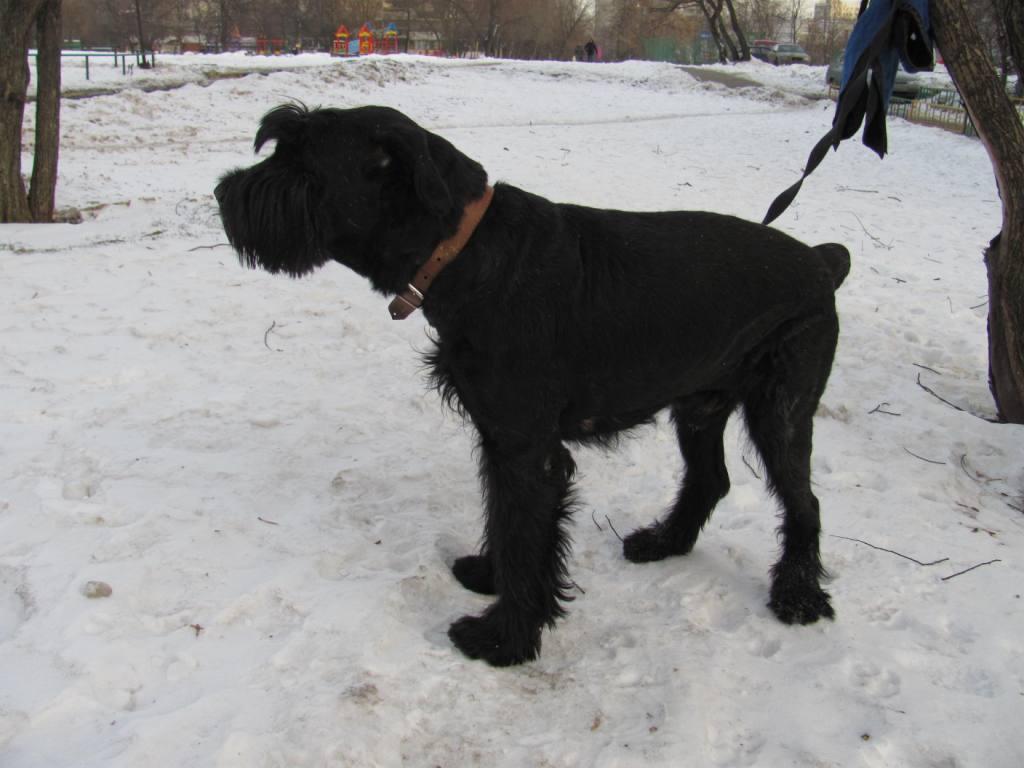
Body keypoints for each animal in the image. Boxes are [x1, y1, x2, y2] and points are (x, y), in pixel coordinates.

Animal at [215, 104, 850, 667]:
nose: (223, 194)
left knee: (805, 502)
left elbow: (525, 537)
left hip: (781, 411)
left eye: (301, 161)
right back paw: (663, 542)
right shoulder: (499, 440)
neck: (464, 252)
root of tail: (821, 263)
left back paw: (797, 596)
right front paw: (488, 576)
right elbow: (503, 518)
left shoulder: (528, 450)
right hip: (699, 405)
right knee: (710, 478)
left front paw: (503, 640)